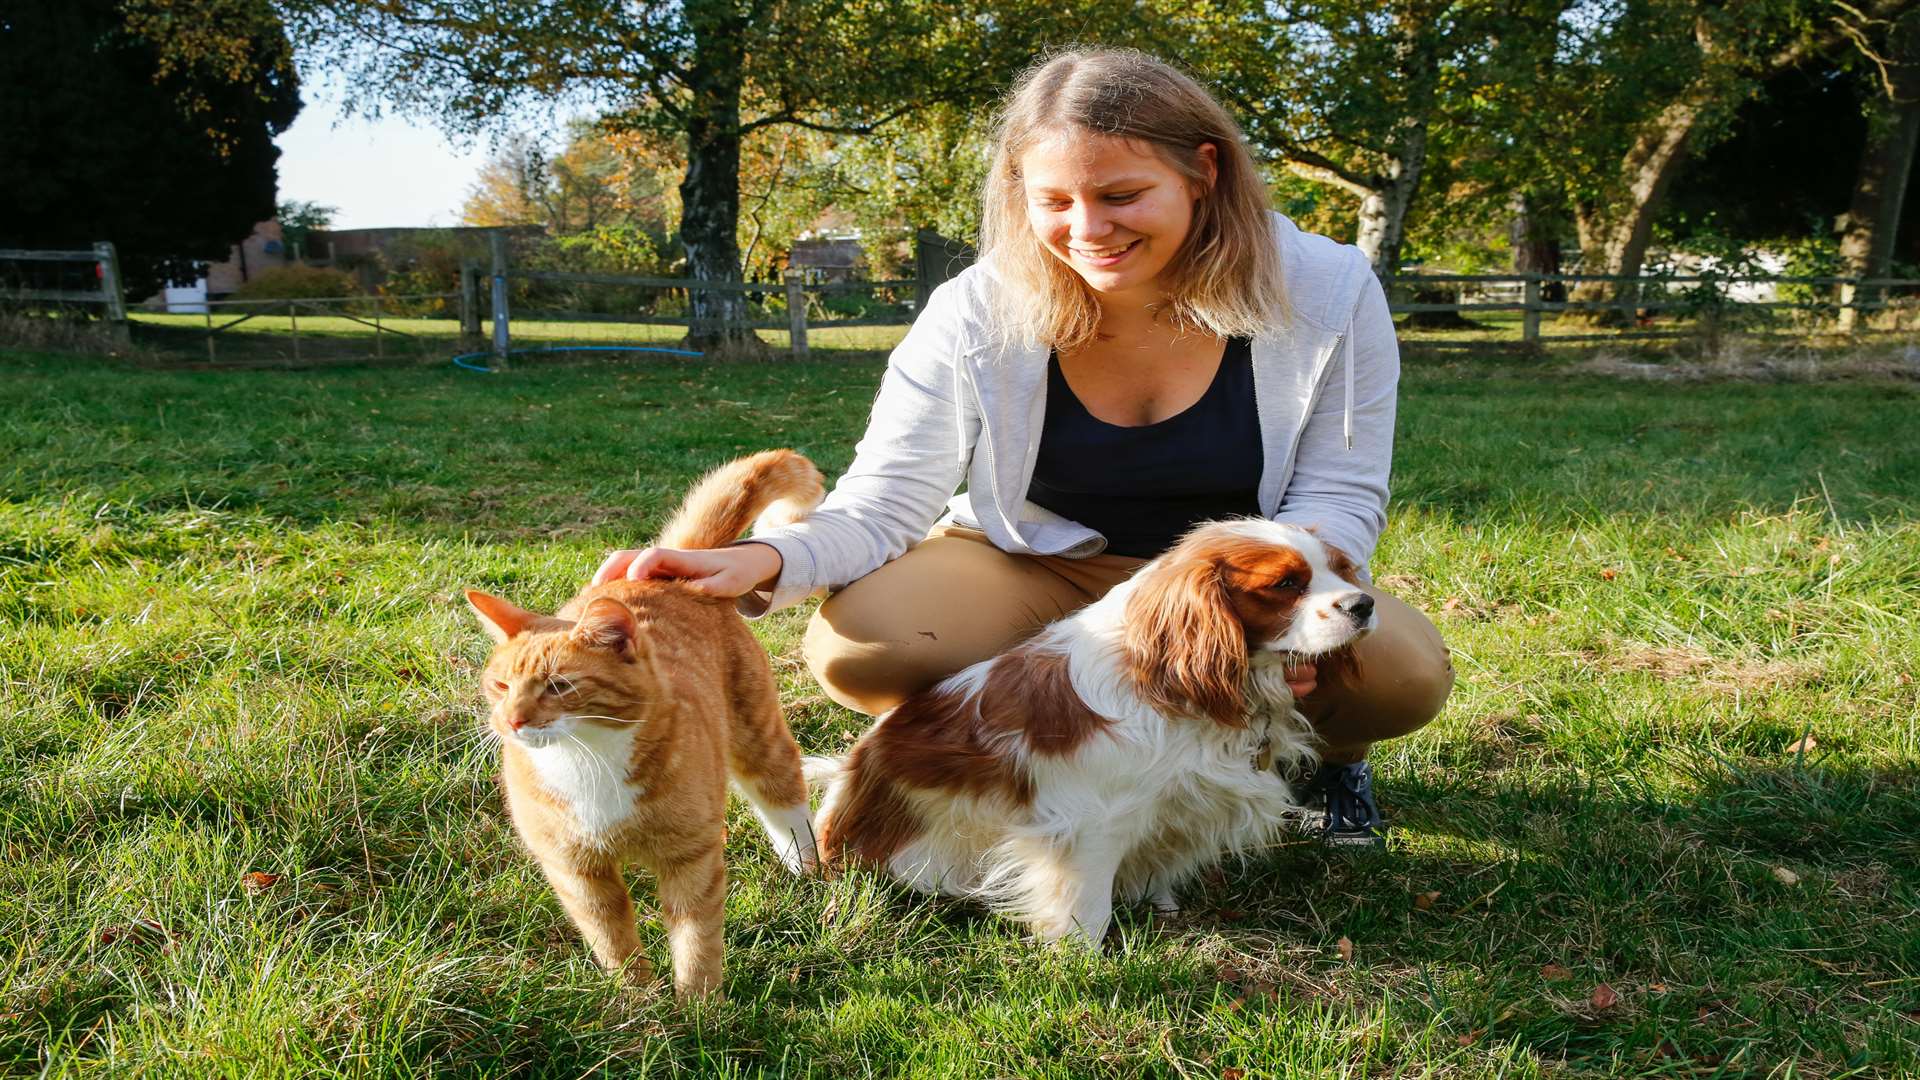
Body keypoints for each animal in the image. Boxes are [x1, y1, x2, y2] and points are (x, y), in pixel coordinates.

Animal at [470, 445, 825, 991]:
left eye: (559, 686)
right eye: (501, 686)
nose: (510, 721)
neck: (587, 759)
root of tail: (667, 575)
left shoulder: (690, 860)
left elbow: (697, 940)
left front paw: (699, 1006)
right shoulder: (577, 872)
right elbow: (612, 941)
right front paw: (636, 1000)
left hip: (757, 738)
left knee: (783, 800)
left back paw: (805, 870)